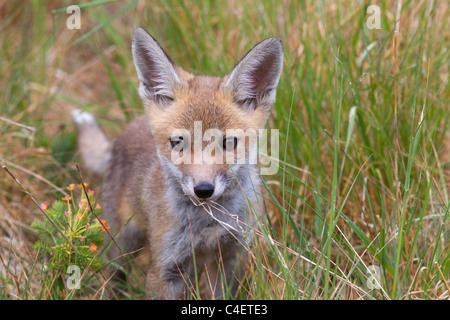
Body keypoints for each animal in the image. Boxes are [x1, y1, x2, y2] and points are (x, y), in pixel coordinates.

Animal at [75, 28, 284, 300]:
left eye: (229, 142)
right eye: (177, 142)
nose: (203, 189)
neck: (209, 221)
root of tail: (124, 132)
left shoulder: (230, 258)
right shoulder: (166, 269)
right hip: (122, 245)